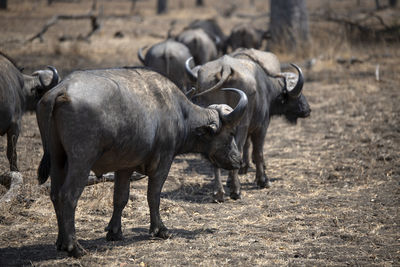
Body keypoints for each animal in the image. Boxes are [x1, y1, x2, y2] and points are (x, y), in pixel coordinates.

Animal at [37, 66, 248, 258]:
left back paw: (61, 242)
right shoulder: (163, 163)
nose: (238, 161)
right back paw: (74, 247)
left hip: (58, 159)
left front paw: (115, 232)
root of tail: (60, 90)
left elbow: (120, 198)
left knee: (55, 194)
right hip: (81, 161)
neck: (180, 113)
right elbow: (153, 196)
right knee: (68, 196)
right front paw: (160, 230)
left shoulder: (125, 167)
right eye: (231, 133)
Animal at [186, 49, 310, 202]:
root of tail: (225, 67)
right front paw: (262, 180)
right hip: (241, 125)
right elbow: (258, 152)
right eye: (299, 94)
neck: (266, 87)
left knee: (216, 154)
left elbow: (245, 148)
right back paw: (236, 190)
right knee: (238, 149)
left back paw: (218, 193)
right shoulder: (261, 127)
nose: (307, 109)